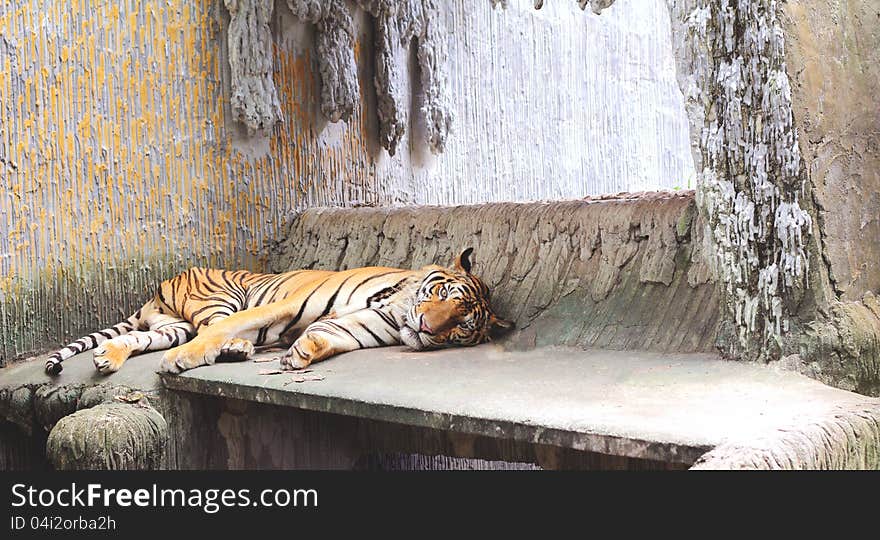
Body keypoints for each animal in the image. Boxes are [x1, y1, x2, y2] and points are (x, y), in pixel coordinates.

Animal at [46, 249, 516, 376]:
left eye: (460, 325)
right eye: (442, 293)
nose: (427, 328)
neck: (394, 306)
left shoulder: (361, 326)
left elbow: (329, 335)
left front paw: (302, 353)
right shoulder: (286, 302)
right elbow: (232, 326)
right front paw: (182, 362)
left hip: (169, 326)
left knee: (135, 338)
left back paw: (108, 359)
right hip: (217, 299)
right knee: (212, 328)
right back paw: (228, 349)